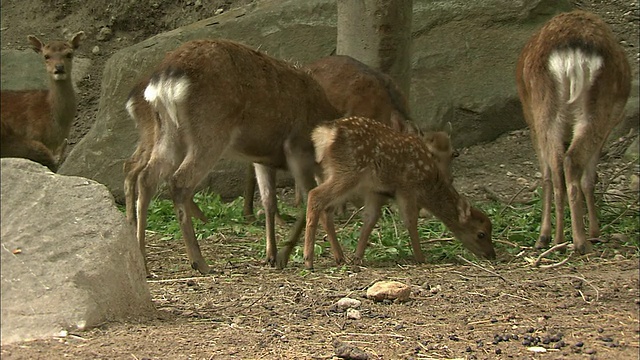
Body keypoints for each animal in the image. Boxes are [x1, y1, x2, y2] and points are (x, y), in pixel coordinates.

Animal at [127, 39, 342, 274]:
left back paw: (143, 261)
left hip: (167, 131)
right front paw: (286, 256)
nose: (342, 258)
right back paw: (199, 262)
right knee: (178, 180)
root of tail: (166, 78)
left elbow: (269, 201)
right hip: (210, 131)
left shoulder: (262, 158)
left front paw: (271, 255)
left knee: (146, 177)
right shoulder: (297, 148)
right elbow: (308, 199)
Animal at [302, 116, 498, 268]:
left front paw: (357, 257)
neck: (428, 184)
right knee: (314, 196)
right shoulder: (407, 187)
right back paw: (308, 260)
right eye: (481, 234)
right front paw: (421, 258)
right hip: (348, 172)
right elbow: (410, 220)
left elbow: (371, 219)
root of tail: (325, 134)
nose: (492, 254)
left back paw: (339, 257)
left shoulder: (377, 191)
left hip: (330, 173)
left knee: (326, 209)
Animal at [516, 9, 632, 255]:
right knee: (568, 162)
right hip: (592, 108)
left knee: (558, 165)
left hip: (545, 109)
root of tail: (572, 58)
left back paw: (559, 240)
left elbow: (554, 174)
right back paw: (577, 241)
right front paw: (595, 231)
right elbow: (589, 177)